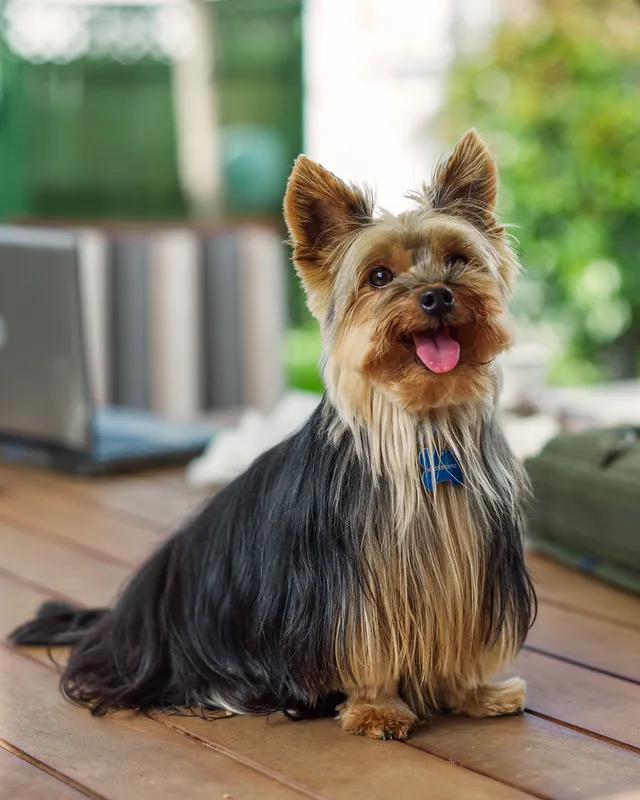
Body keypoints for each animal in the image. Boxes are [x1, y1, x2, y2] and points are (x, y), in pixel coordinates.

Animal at [12, 130, 536, 736]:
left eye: (457, 259)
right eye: (379, 276)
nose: (437, 294)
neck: (420, 431)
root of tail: (122, 618)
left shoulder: (471, 569)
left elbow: (462, 632)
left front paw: (476, 692)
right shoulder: (349, 591)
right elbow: (366, 648)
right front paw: (378, 708)